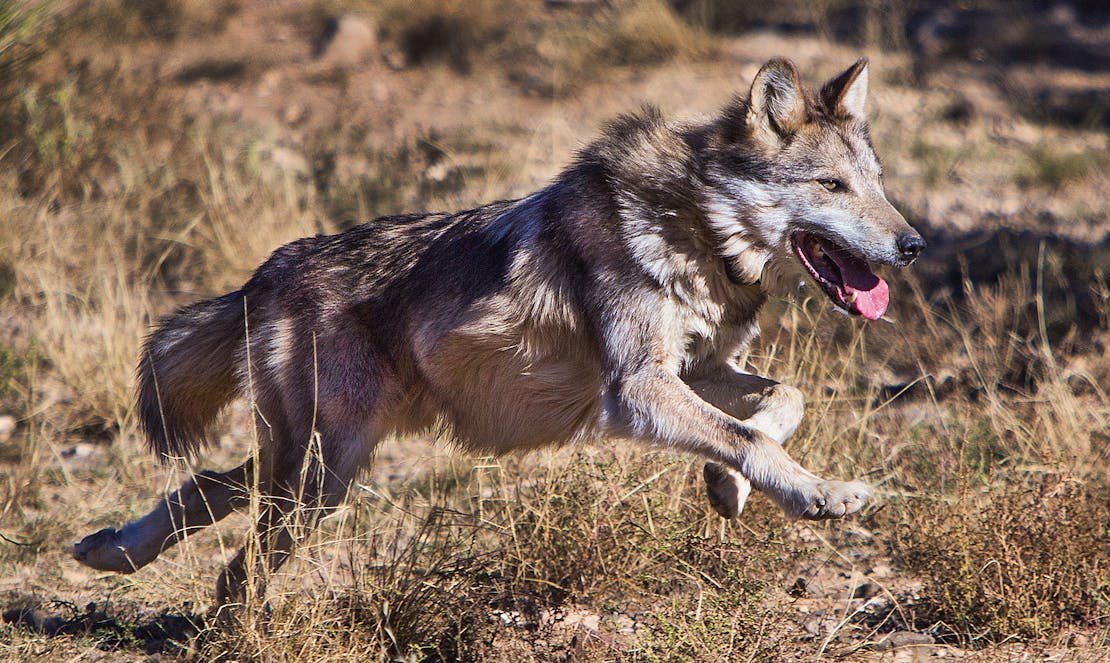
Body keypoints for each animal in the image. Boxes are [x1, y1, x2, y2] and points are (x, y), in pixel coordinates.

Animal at [73, 57, 924, 604]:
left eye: (879, 183)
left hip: (320, 467)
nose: (913, 245)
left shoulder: (698, 370)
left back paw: (110, 549)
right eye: (831, 185)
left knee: (210, 487)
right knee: (237, 560)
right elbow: (749, 433)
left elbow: (783, 403)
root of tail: (265, 273)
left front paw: (728, 486)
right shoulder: (637, 391)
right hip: (318, 475)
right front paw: (819, 494)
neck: (696, 228)